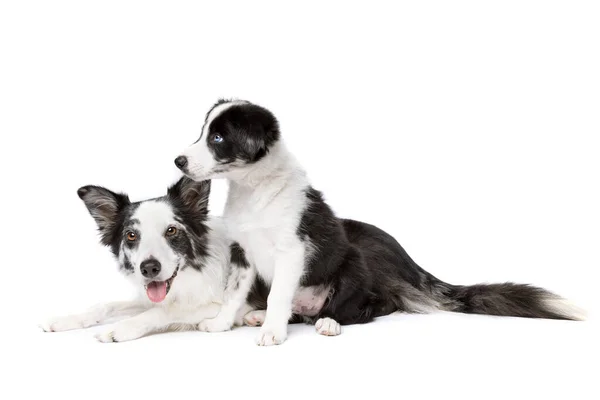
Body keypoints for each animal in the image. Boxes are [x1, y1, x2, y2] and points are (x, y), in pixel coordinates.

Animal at [39, 177, 251, 342]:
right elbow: (106, 305)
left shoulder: (218, 305)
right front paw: (67, 319)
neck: (189, 273)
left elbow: (163, 311)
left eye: (171, 230)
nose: (149, 268)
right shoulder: (150, 296)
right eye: (131, 235)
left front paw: (119, 328)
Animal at [175, 99, 584, 344]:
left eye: (218, 138)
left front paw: (273, 333)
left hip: (353, 267)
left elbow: (278, 295)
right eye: (204, 132)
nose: (178, 160)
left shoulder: (292, 252)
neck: (252, 190)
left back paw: (329, 322)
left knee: (371, 306)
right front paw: (221, 324)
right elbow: (233, 297)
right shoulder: (242, 256)